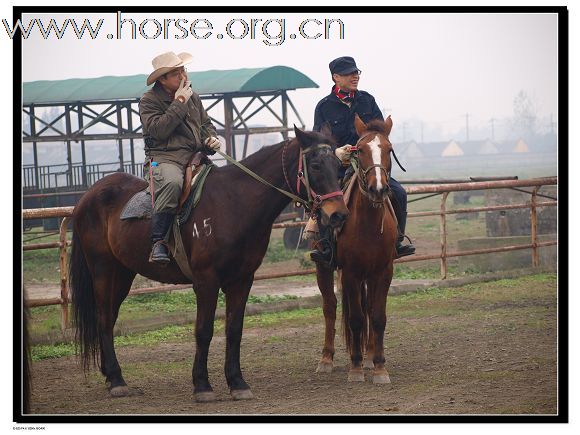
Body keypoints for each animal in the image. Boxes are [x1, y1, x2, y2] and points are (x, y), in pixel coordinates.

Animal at [69, 126, 346, 402]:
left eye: (338, 165)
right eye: (316, 165)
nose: (338, 214)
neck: (234, 203)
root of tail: (88, 196)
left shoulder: (242, 280)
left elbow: (234, 330)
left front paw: (237, 382)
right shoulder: (206, 281)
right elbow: (203, 330)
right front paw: (202, 385)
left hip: (123, 273)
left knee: (109, 317)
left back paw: (110, 375)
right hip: (103, 270)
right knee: (104, 318)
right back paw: (117, 380)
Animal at [314, 115, 396, 384]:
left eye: (388, 149)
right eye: (360, 150)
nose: (378, 189)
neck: (367, 223)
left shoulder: (384, 271)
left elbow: (377, 317)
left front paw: (379, 366)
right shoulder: (349, 273)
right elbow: (356, 319)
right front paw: (356, 367)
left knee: (368, 307)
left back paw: (369, 355)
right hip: (324, 268)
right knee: (330, 307)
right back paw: (327, 359)